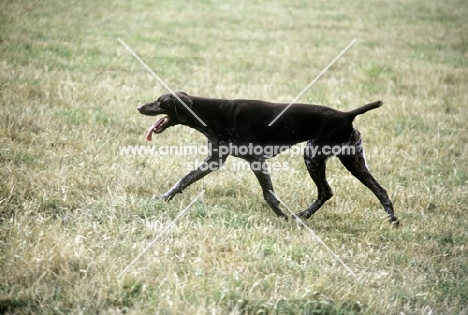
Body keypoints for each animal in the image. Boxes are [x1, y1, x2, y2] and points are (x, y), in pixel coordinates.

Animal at [138, 91, 398, 227]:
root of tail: (347, 115)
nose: (140, 106)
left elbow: (269, 195)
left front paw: (281, 217)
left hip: (312, 156)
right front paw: (163, 198)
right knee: (381, 191)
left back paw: (300, 217)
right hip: (353, 161)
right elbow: (183, 180)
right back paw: (393, 221)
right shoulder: (214, 160)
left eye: (160, 101)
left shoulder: (257, 160)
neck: (211, 113)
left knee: (326, 191)